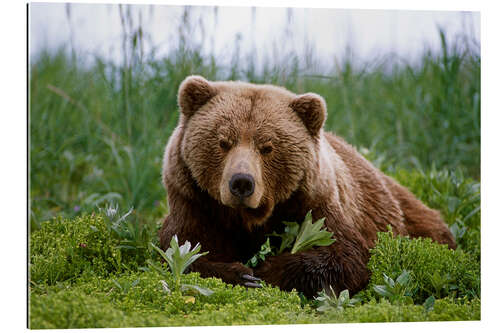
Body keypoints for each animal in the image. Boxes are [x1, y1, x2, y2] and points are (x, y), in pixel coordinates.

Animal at [160, 74, 458, 296]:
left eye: (267, 147)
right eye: (223, 142)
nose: (242, 183)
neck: (250, 217)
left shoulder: (314, 201)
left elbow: (344, 255)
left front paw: (266, 270)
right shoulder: (195, 202)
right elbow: (183, 249)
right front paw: (242, 274)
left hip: (405, 215)